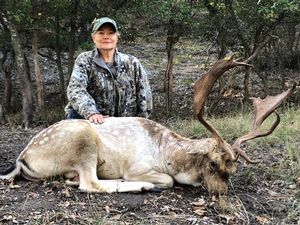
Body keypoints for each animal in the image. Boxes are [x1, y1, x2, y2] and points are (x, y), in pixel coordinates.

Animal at [0, 56, 296, 193]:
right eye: (213, 164)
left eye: (232, 170)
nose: (220, 194)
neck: (167, 153)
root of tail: (22, 159)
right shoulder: (139, 166)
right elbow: (168, 180)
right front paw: (149, 183)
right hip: (82, 141)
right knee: (89, 183)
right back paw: (139, 186)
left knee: (78, 181)